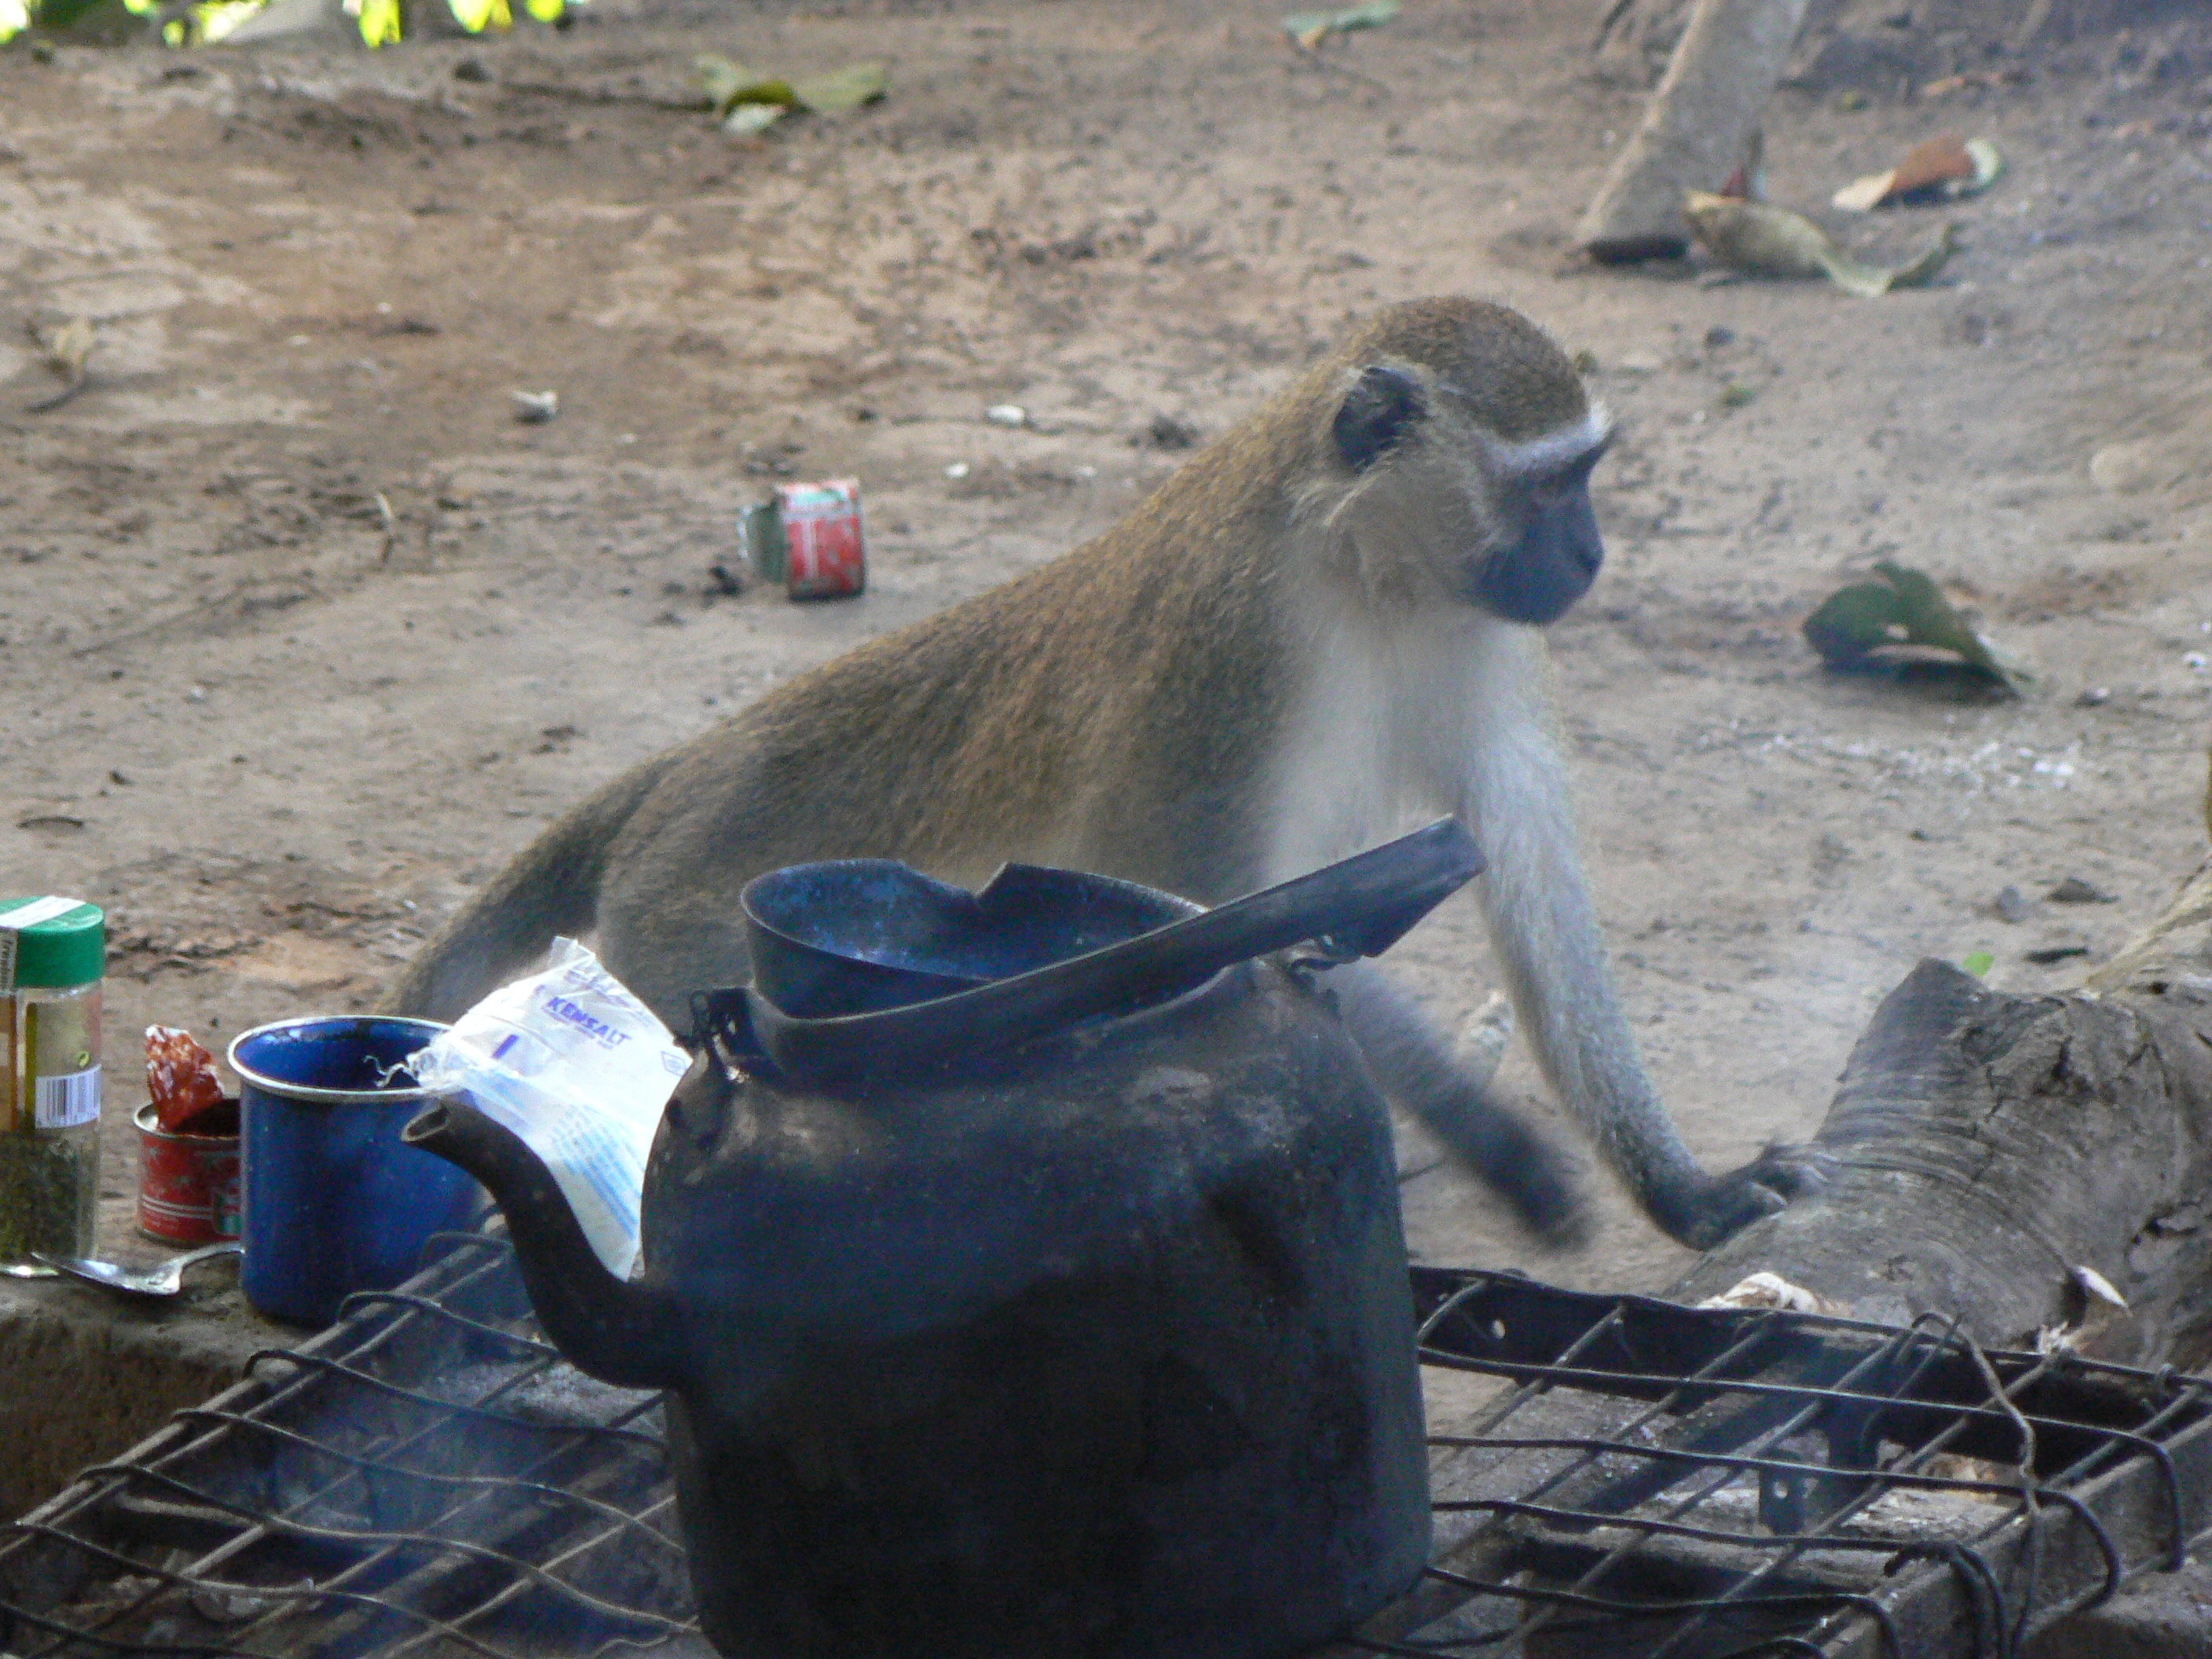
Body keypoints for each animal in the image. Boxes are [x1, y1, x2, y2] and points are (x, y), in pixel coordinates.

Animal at [389, 302, 1822, 1256]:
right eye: (1548, 487)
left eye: (1588, 476)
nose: (1591, 554)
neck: (1373, 572)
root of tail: (682, 772)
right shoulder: (1231, 655)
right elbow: (1221, 909)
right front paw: (1500, 1145)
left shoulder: (1478, 633)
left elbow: (1525, 873)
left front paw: (1683, 1190)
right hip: (671, 930)